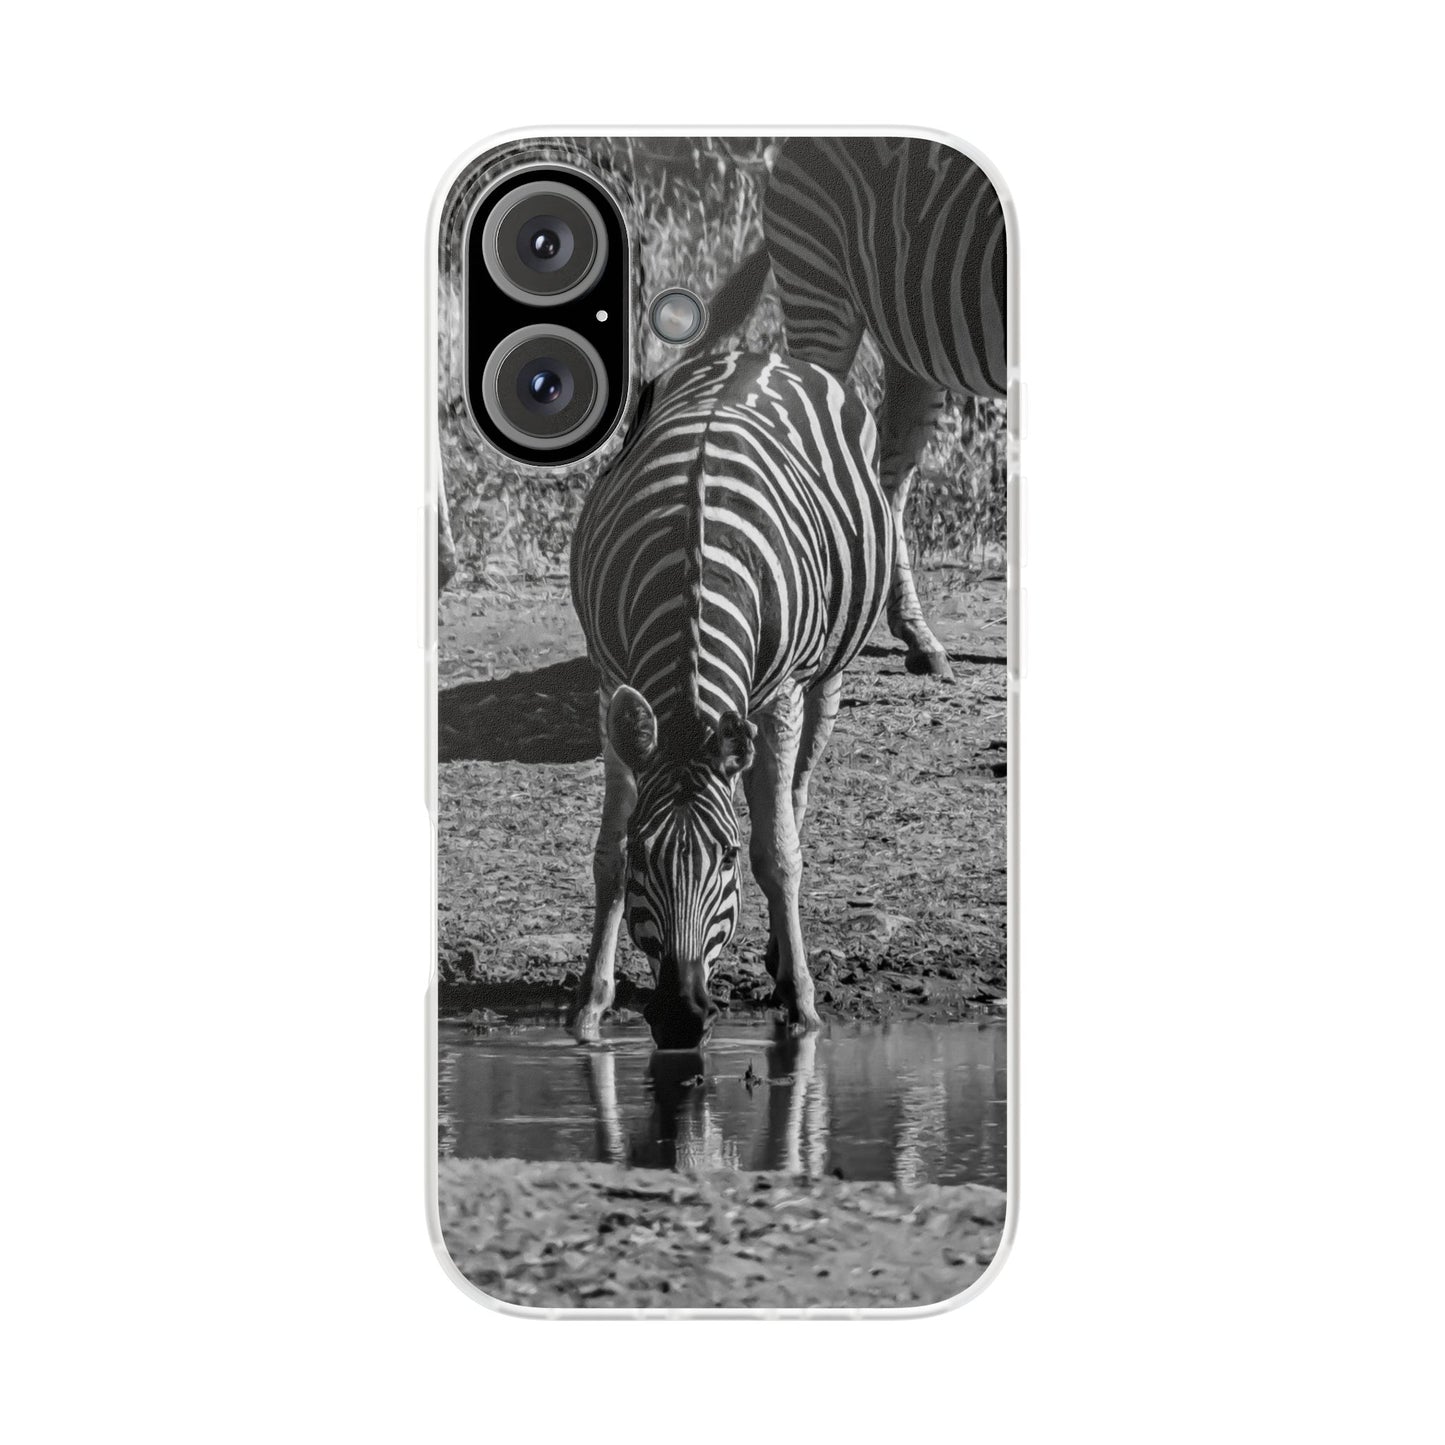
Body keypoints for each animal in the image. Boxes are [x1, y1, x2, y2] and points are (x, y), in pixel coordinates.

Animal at [568, 350, 893, 1048]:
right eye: (646, 854)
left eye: (727, 857)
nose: (681, 1016)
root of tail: (757, 353)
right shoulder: (610, 682)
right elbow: (607, 856)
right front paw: (590, 1004)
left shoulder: (782, 697)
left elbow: (779, 855)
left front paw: (801, 1004)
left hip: (824, 675)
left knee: (794, 796)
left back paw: (781, 955)